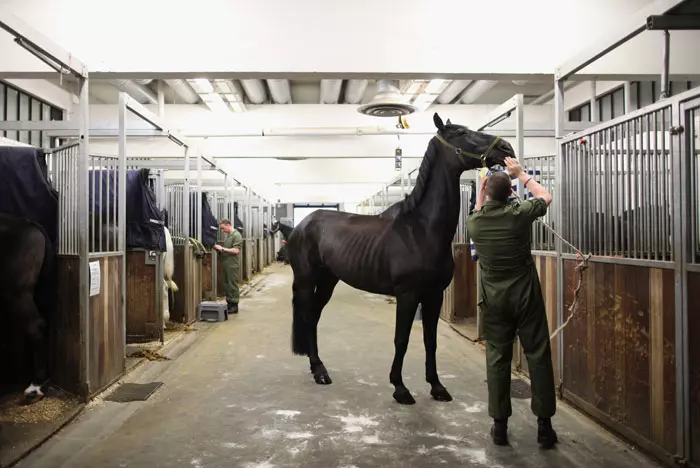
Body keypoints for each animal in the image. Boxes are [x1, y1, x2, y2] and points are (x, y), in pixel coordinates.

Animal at [288, 114, 512, 406]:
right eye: (461, 133)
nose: (506, 148)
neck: (422, 230)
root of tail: (303, 224)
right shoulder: (407, 295)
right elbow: (401, 340)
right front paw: (400, 388)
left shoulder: (434, 295)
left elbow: (430, 341)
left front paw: (437, 387)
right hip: (306, 280)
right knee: (307, 316)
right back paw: (318, 372)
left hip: (328, 281)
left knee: (314, 316)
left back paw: (320, 369)